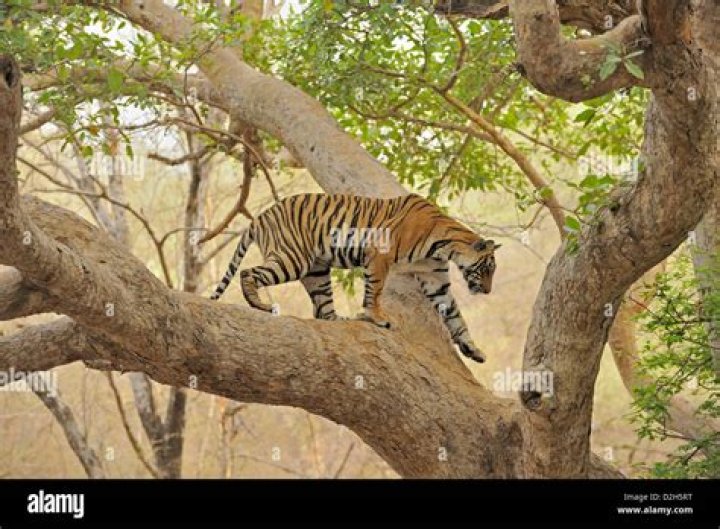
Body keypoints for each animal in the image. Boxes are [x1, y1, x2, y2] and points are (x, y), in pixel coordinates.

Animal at [210, 193, 500, 363]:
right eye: (486, 269)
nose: (487, 291)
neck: (445, 246)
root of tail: (260, 217)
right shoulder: (379, 255)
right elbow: (375, 291)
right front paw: (377, 318)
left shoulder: (436, 282)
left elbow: (455, 317)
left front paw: (473, 350)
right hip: (293, 259)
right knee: (248, 272)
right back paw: (260, 305)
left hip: (316, 270)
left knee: (323, 310)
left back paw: (341, 319)